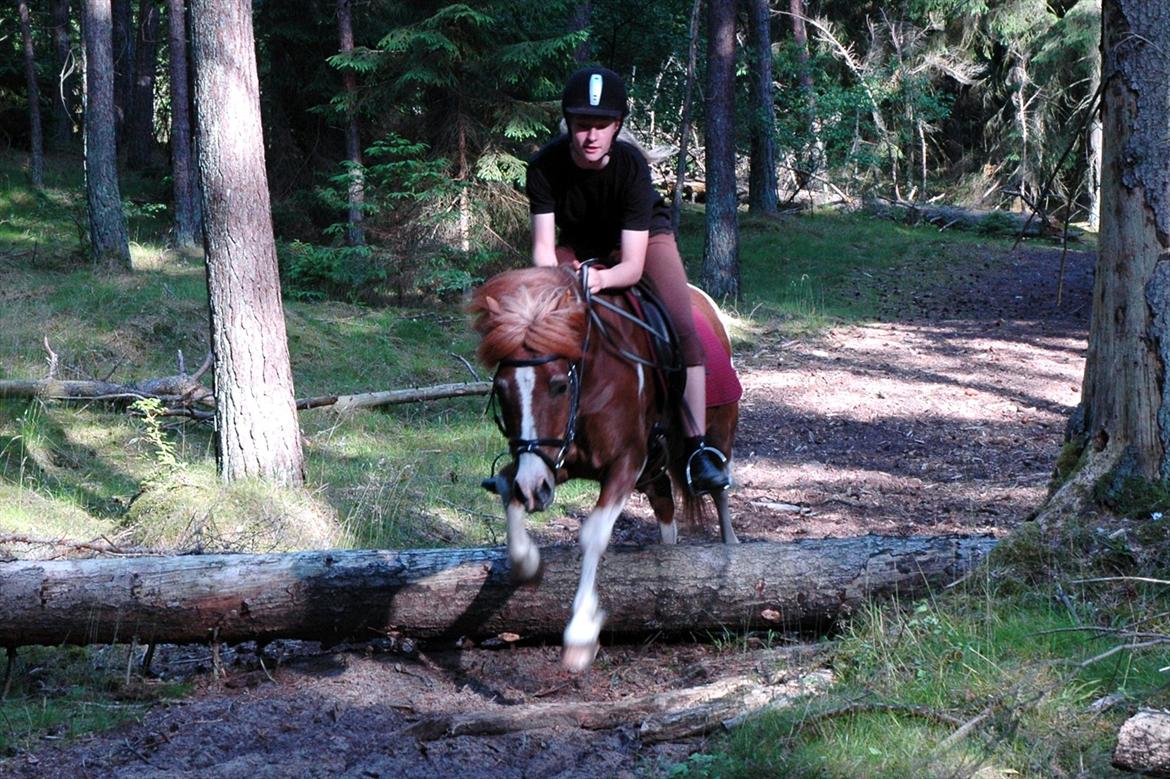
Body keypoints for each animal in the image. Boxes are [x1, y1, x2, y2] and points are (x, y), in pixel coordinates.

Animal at [467, 262, 734, 669]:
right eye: (501, 389)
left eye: (559, 385)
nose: (534, 490)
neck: (590, 383)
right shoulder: (551, 460)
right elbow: (507, 486)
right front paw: (528, 563)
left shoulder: (626, 460)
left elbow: (592, 534)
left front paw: (580, 631)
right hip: (652, 473)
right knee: (665, 508)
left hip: (720, 430)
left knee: (719, 490)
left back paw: (734, 548)